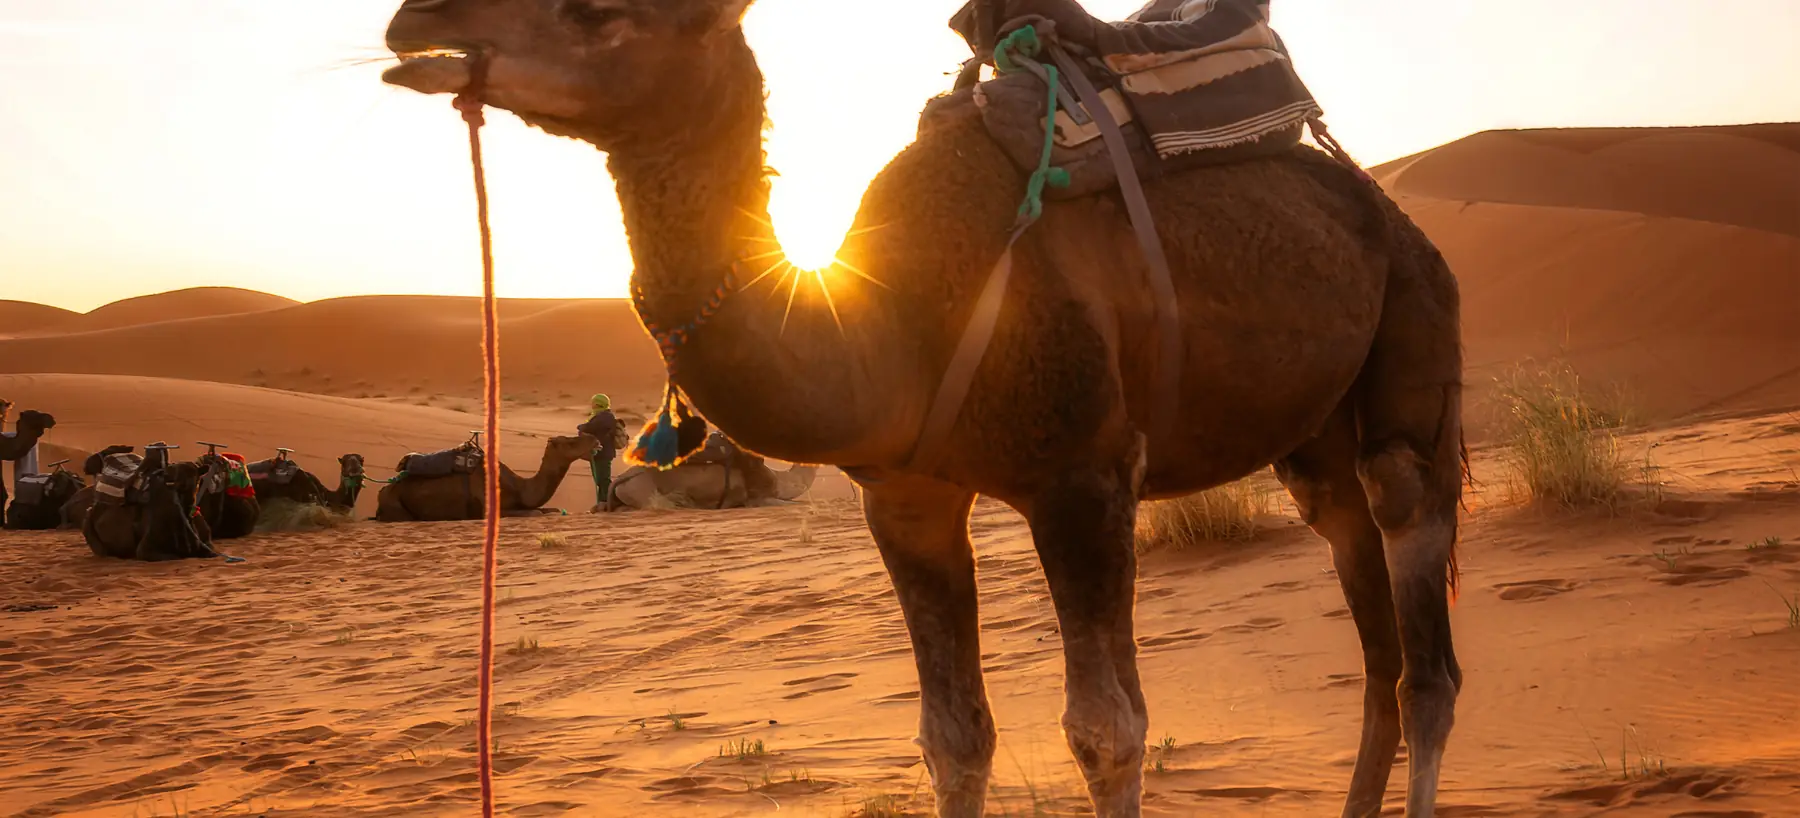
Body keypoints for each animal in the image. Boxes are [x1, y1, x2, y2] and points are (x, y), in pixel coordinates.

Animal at [83, 462, 218, 561]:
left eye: (195, 474)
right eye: (176, 473)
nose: (185, 485)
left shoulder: (206, 543)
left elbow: (212, 553)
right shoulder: (144, 549)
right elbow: (174, 556)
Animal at [375, 434, 594, 522]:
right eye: (570, 442)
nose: (594, 439)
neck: (519, 487)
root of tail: (383, 490)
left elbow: (549, 510)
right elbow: (535, 513)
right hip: (395, 505)